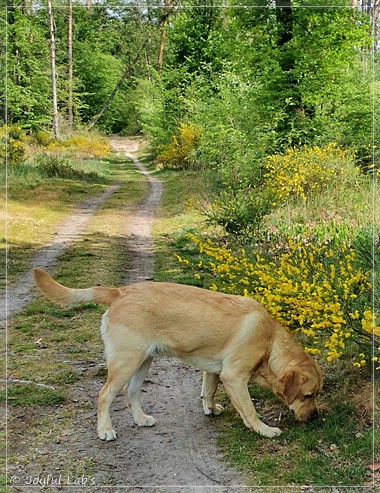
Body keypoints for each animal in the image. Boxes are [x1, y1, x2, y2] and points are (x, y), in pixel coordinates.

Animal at [33, 268, 324, 440]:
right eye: (308, 395)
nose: (315, 418)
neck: (270, 341)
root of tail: (119, 292)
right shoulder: (234, 377)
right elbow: (250, 411)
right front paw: (264, 430)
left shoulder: (213, 371)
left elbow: (208, 391)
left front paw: (210, 408)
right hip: (126, 363)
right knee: (105, 396)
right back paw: (105, 429)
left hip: (143, 362)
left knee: (131, 392)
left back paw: (140, 419)